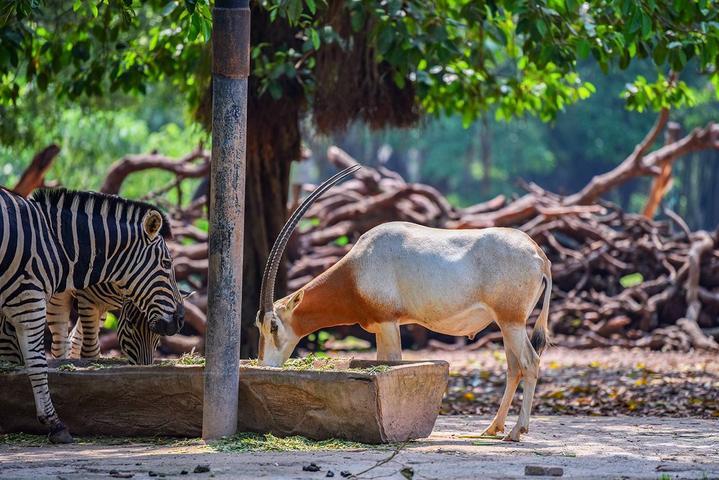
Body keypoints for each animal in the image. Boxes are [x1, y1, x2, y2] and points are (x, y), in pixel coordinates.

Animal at [0, 187, 184, 443]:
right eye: (166, 264)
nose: (181, 319)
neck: (58, 242)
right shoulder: (30, 299)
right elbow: (37, 363)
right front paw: (55, 424)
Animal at [256, 165, 552, 442]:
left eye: (273, 326)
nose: (264, 365)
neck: (357, 269)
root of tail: (538, 254)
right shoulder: (379, 326)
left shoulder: (389, 323)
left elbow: (392, 364)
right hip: (506, 324)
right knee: (514, 368)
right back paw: (493, 428)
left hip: (511, 321)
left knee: (530, 362)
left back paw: (516, 431)